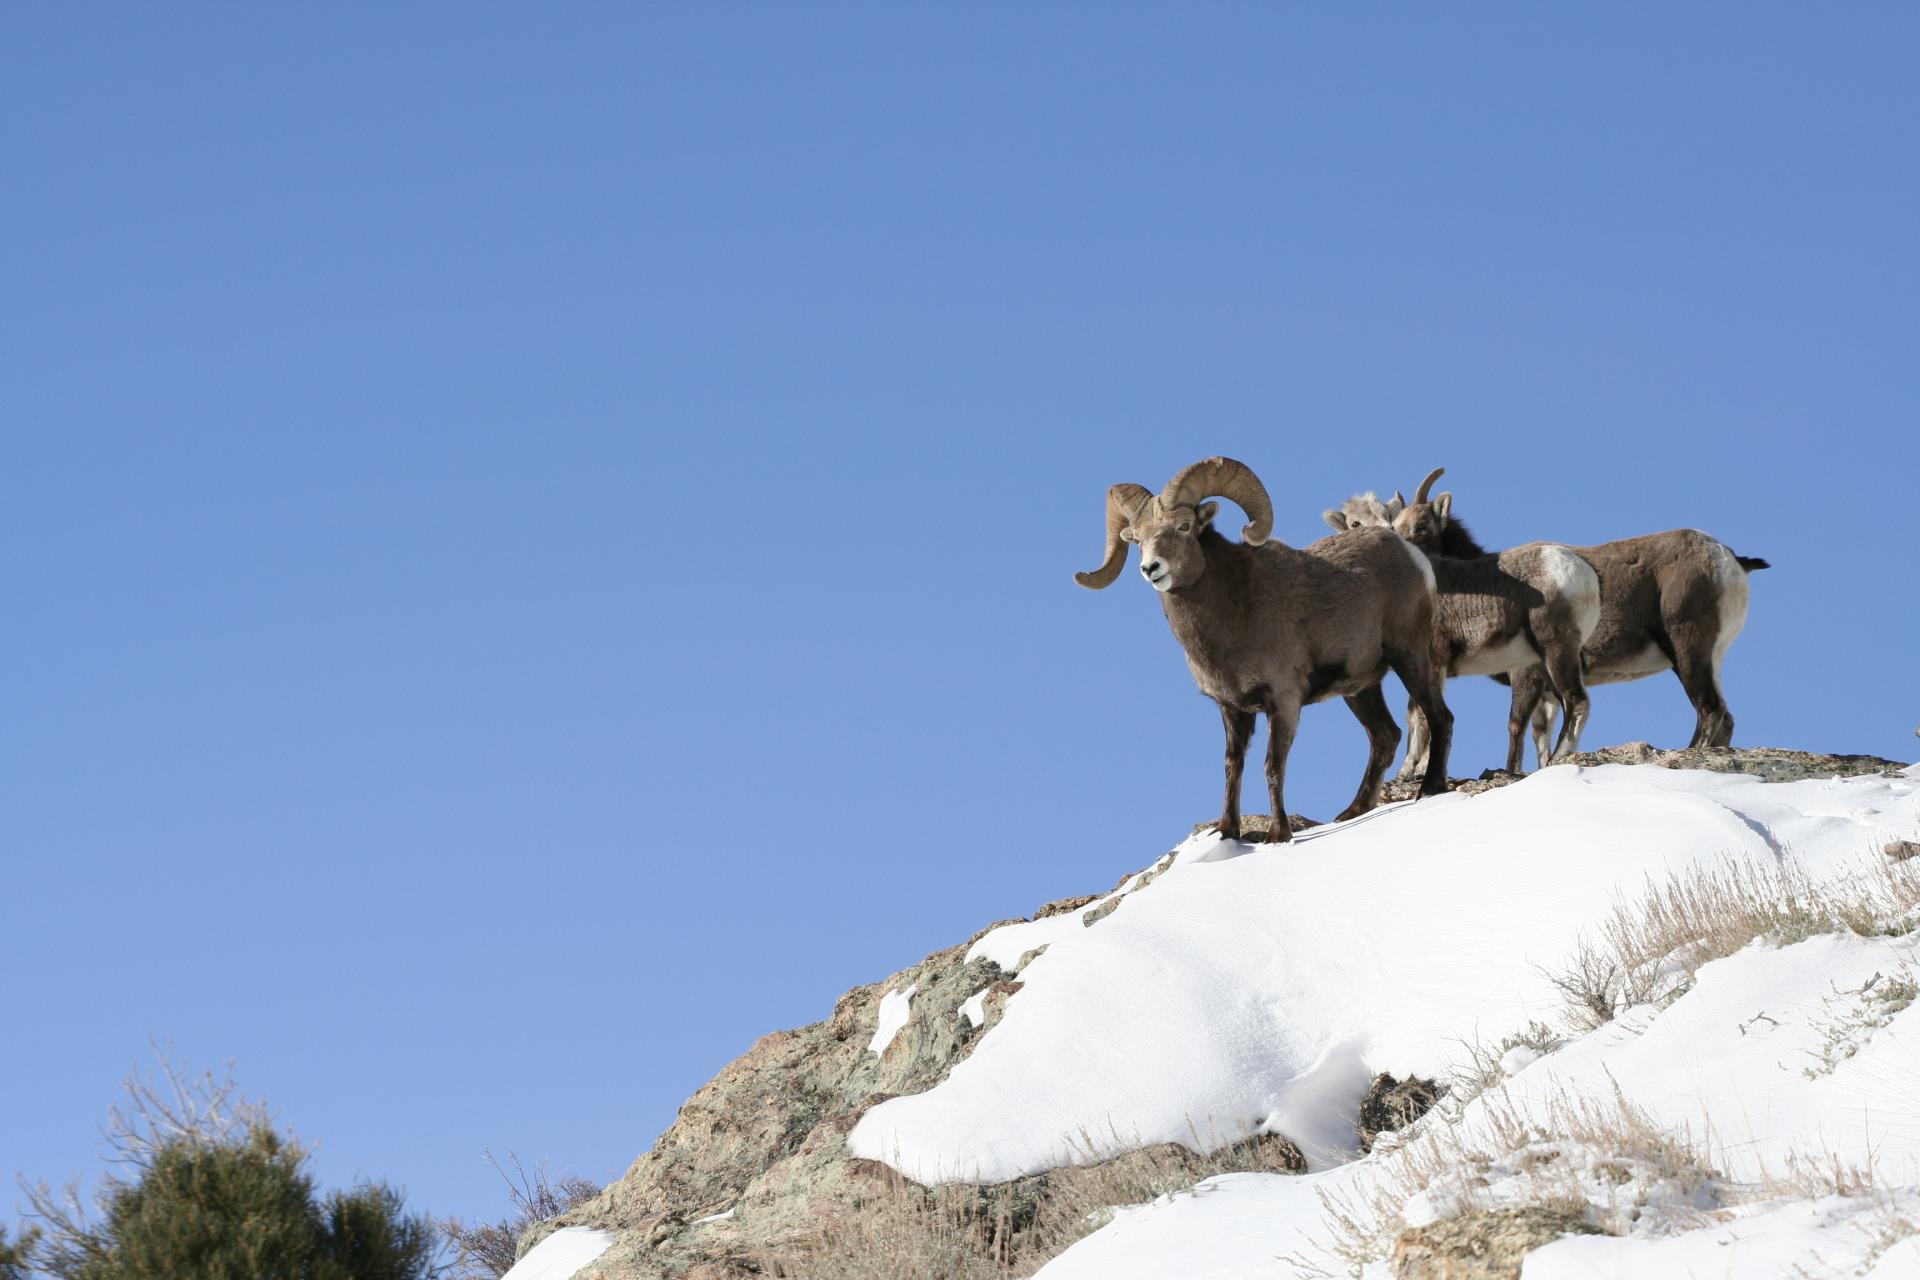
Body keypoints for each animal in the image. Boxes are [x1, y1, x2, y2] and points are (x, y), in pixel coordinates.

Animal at [1075, 452, 1443, 840]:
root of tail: (1411, 556)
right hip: (1359, 689)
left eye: (1185, 526)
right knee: (1385, 737)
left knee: (1439, 716)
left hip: (1409, 657)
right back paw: (1351, 812)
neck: (1235, 614)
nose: (1151, 569)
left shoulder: (1283, 701)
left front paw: (1278, 835)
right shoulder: (1232, 708)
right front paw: (1227, 832)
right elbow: (1232, 766)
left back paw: (1430, 789)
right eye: (1137, 539)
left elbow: (1272, 766)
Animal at [1367, 470, 1766, 771]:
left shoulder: (1526, 673)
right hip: (1706, 657)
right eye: (1395, 524)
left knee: (1709, 709)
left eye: (1421, 525)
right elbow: (1538, 735)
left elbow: (1514, 726)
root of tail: (1729, 558)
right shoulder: (1546, 692)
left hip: (1687, 650)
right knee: (1724, 716)